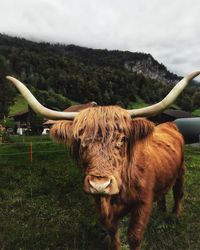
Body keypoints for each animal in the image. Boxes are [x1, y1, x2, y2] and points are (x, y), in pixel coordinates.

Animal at [6, 71, 200, 250]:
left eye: (122, 139)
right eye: (80, 140)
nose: (99, 185)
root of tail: (169, 125)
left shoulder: (143, 203)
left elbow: (134, 236)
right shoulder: (101, 205)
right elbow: (112, 234)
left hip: (181, 171)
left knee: (178, 193)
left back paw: (174, 216)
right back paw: (161, 211)